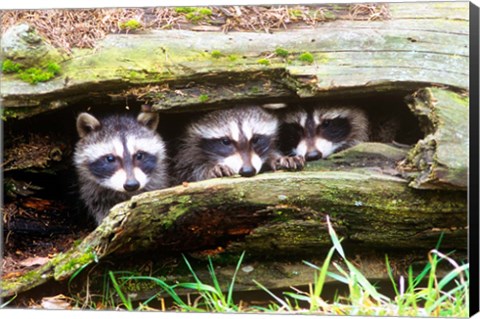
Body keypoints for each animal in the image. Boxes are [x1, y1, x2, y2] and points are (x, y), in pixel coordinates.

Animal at [172, 105, 304, 184]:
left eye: (255, 139)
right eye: (226, 141)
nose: (248, 171)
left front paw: (278, 158)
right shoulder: (185, 150)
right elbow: (186, 173)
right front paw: (210, 169)